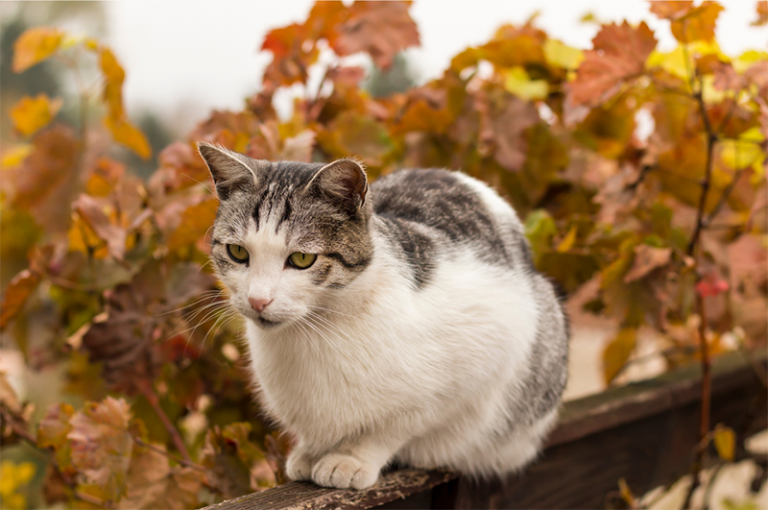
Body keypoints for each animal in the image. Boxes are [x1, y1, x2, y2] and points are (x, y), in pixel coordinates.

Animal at [198, 142, 568, 490]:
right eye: (238, 252)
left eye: (302, 259)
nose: (258, 299)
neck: (315, 333)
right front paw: (310, 451)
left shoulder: (481, 359)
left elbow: (395, 426)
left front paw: (349, 458)